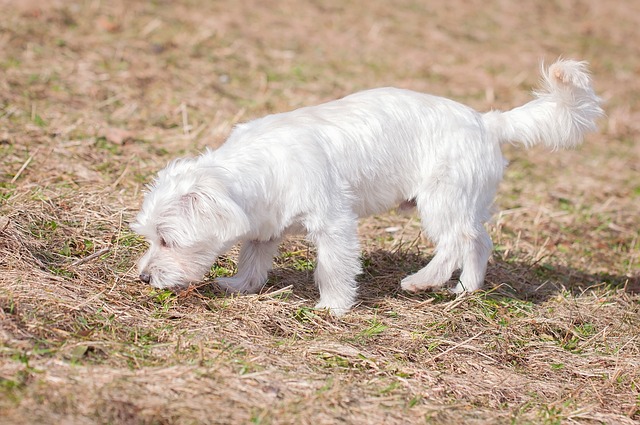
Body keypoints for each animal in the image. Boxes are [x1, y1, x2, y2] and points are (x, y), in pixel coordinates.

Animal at [132, 61, 604, 316]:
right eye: (151, 238)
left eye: (168, 240)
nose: (143, 277)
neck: (257, 165)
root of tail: (488, 121)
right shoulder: (265, 225)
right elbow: (253, 257)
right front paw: (239, 285)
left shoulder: (334, 223)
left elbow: (333, 268)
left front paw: (332, 307)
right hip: (466, 202)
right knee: (479, 241)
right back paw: (465, 290)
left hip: (440, 199)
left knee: (455, 240)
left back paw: (421, 281)